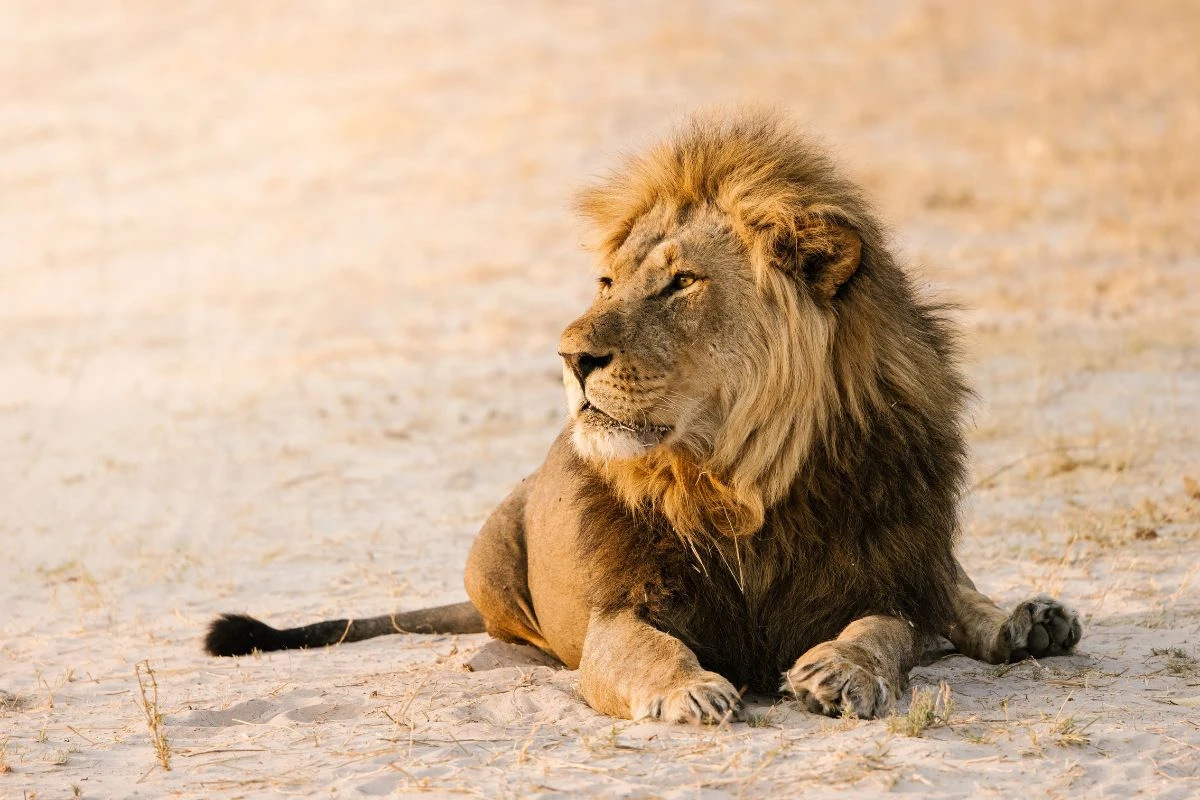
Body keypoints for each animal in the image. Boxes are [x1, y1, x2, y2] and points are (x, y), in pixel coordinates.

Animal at [205, 112, 1081, 722]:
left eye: (679, 282)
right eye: (606, 282)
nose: (569, 357)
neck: (742, 482)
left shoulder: (882, 565)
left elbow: (885, 630)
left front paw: (839, 670)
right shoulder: (621, 611)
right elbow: (643, 650)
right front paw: (688, 690)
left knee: (956, 591)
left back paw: (1031, 621)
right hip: (491, 551)